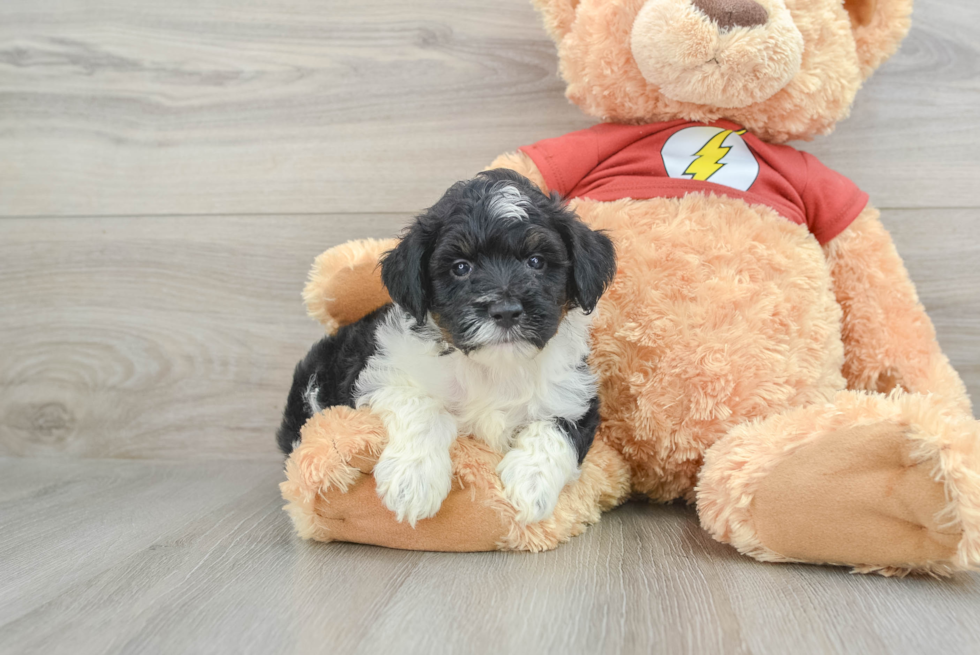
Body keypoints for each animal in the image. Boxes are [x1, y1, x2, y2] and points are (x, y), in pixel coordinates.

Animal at [278, 169, 612, 528]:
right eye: (461, 267)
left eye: (536, 261)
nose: (506, 310)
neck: (496, 366)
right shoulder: (384, 373)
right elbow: (422, 407)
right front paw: (413, 478)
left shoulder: (576, 397)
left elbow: (555, 430)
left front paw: (530, 482)